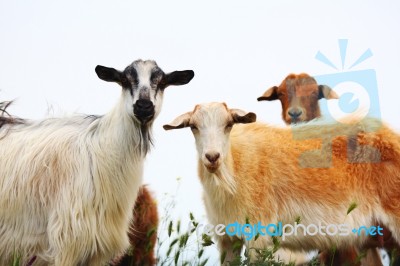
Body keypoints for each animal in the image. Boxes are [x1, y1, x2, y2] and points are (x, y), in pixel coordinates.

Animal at [163, 101, 400, 264]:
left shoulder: (258, 237)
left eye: (228, 124)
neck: (234, 169)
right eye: (193, 126)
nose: (212, 157)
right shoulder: (227, 239)